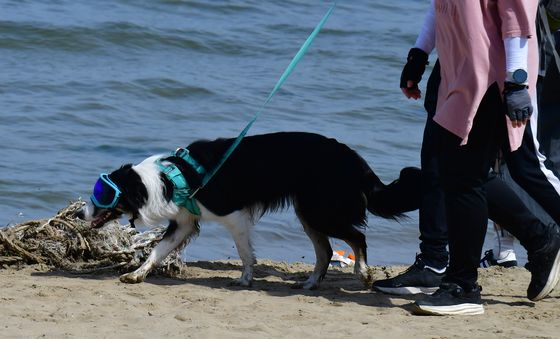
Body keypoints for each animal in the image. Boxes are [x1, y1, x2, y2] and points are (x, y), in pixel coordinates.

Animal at [79, 132, 420, 290]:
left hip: (321, 211)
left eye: (102, 194)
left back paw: (363, 273)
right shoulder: (185, 222)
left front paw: (245, 279)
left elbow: (244, 251)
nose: (80, 214)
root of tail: (353, 158)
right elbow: (157, 251)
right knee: (324, 251)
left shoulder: (233, 215)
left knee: (357, 238)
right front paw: (137, 274)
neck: (167, 178)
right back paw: (310, 283)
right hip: (308, 212)